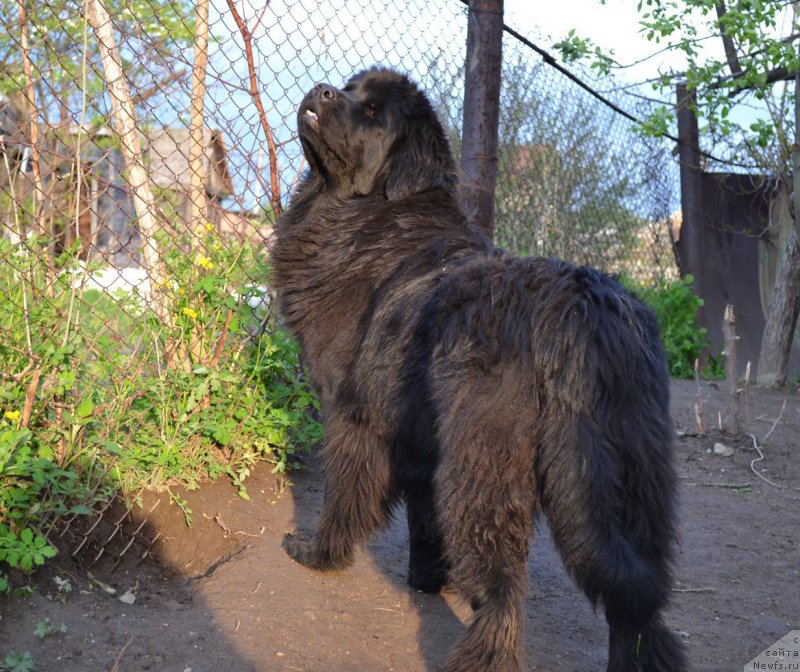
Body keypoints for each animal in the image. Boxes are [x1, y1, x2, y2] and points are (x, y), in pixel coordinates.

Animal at [272, 68, 684, 672]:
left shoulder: (354, 414)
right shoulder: (419, 432)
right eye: (350, 87)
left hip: (483, 461)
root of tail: (582, 303)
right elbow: (423, 519)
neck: (369, 216)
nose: (323, 90)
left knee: (504, 589)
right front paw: (425, 579)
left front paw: (319, 554)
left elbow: (345, 494)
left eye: (371, 113)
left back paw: (483, 653)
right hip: (632, 471)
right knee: (638, 595)